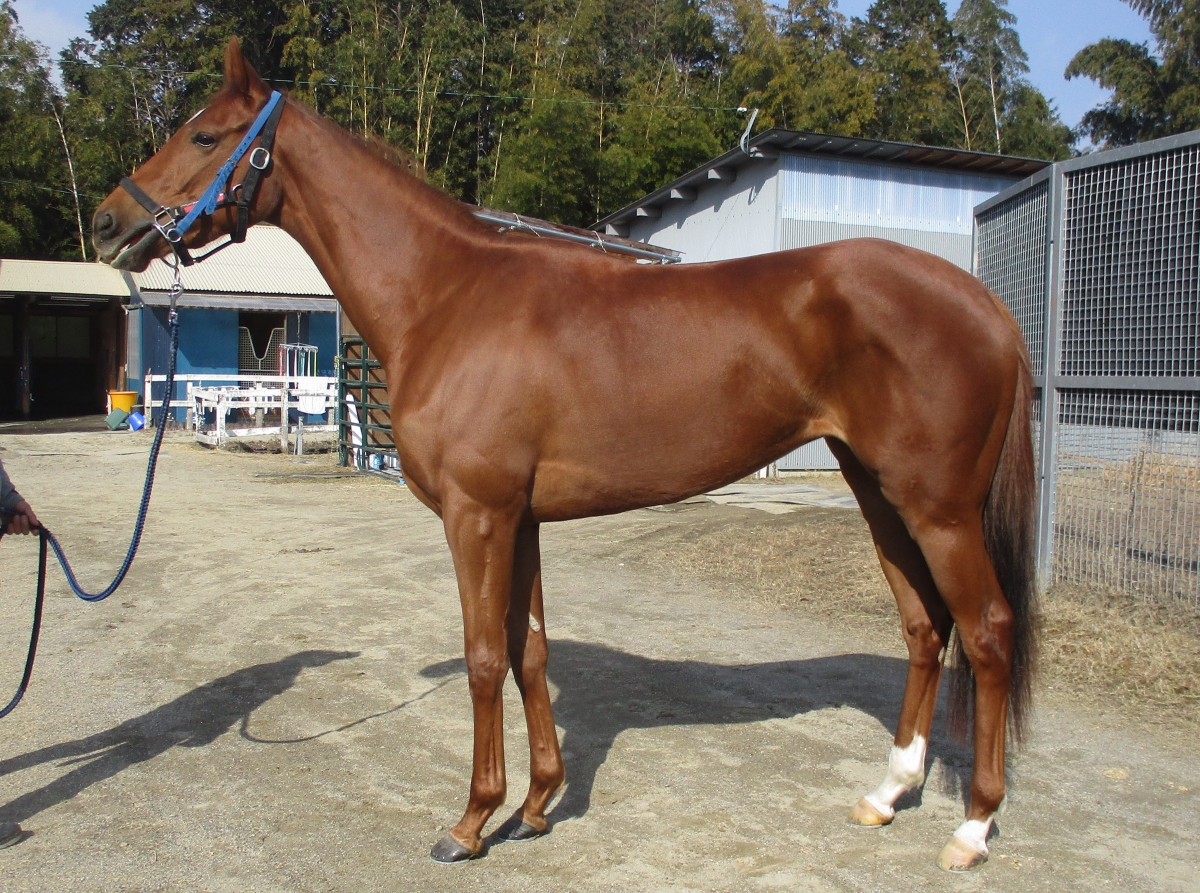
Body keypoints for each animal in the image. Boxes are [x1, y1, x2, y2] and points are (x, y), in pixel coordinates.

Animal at [92, 38, 1037, 872]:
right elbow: (530, 650)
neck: (448, 296)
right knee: (925, 626)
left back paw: (974, 826)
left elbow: (482, 658)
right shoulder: (522, 519)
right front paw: (539, 803)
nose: (108, 222)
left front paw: (471, 821)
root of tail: (983, 301)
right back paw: (888, 792)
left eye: (205, 136)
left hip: (939, 507)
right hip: (879, 492)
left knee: (988, 631)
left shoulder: (477, 515)